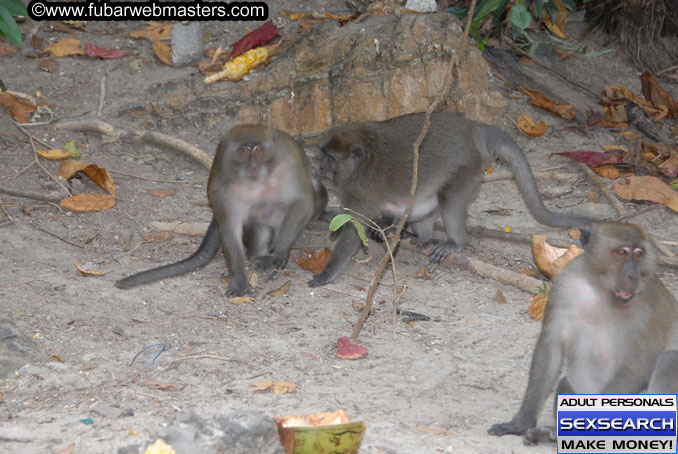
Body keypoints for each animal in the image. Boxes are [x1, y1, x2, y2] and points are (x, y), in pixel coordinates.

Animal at [117, 124, 330, 298]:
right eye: (245, 150)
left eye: (259, 149)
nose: (253, 165)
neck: (258, 181)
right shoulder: (225, 187)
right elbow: (230, 228)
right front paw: (239, 281)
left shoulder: (289, 164)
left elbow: (304, 199)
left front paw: (281, 247)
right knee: (259, 216)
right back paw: (258, 255)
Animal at [308, 111, 588, 286]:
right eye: (322, 154)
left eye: (330, 158)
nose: (319, 167)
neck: (362, 163)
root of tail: (473, 127)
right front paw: (384, 224)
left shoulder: (360, 192)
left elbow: (353, 230)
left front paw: (328, 272)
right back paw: (421, 237)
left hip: (469, 166)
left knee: (450, 197)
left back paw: (455, 242)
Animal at [488, 222, 678, 446]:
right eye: (622, 252)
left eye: (638, 254)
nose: (633, 276)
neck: (600, 290)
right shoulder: (564, 284)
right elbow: (551, 348)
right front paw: (522, 423)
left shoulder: (649, 307)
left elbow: (638, 367)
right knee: (565, 385)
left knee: (669, 361)